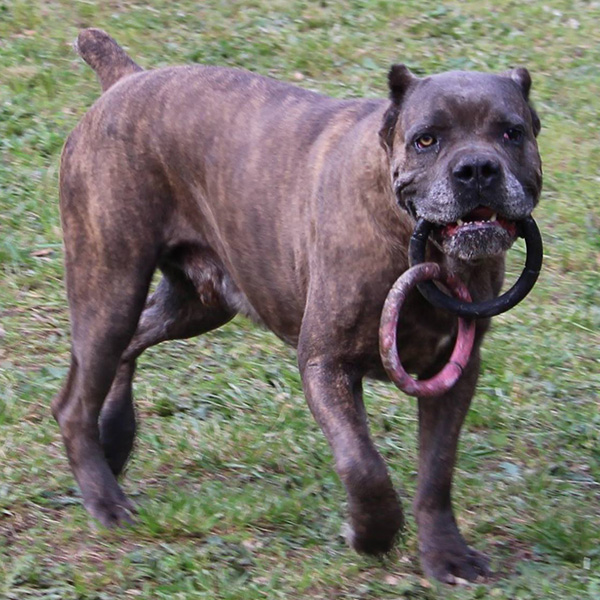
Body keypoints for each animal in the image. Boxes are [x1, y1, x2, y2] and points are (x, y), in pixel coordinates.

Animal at [54, 29, 544, 584]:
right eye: (426, 139)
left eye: (511, 133)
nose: (477, 169)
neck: (418, 245)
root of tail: (126, 79)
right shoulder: (325, 363)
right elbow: (363, 465)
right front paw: (371, 535)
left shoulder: (454, 375)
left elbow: (436, 471)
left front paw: (445, 554)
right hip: (110, 288)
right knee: (74, 401)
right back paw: (105, 499)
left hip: (197, 303)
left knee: (130, 345)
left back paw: (114, 439)